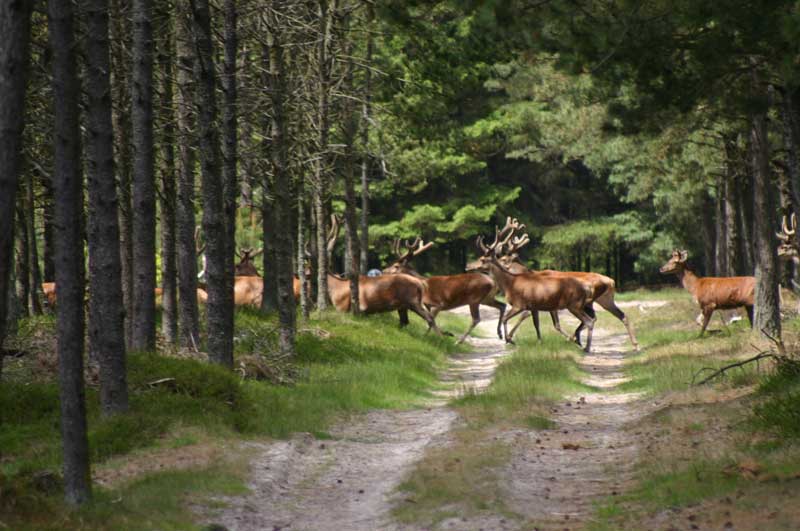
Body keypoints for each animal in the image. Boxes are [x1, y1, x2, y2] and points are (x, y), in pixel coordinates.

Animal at [462, 227, 592, 352]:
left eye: (482, 259)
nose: (467, 266)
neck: (509, 284)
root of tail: (585, 288)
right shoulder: (533, 306)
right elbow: (536, 324)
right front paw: (539, 342)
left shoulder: (519, 304)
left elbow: (505, 318)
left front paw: (509, 339)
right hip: (577, 306)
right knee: (589, 319)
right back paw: (579, 342)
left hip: (574, 305)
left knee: (589, 321)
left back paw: (585, 347)